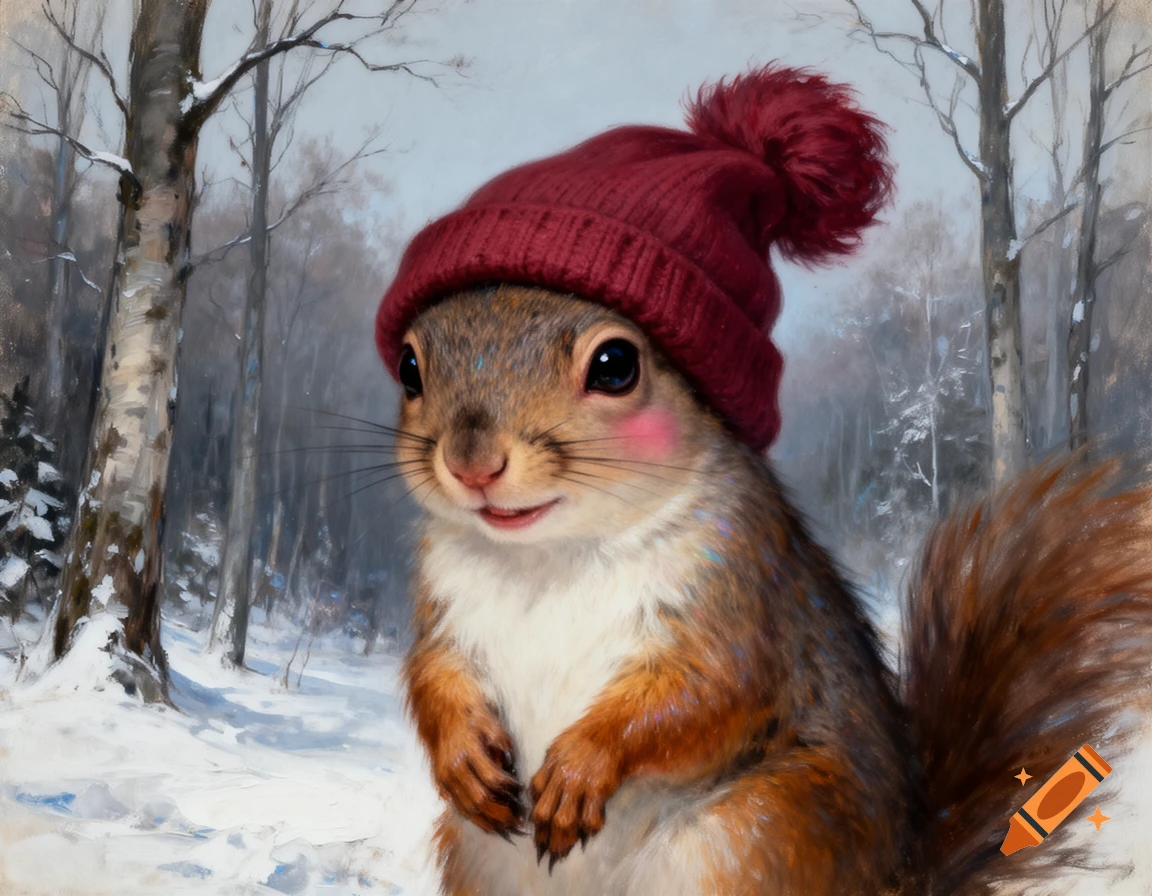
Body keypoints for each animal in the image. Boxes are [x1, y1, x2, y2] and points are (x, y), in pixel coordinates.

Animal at [372, 66, 1152, 895]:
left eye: (615, 365)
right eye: (412, 367)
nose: (472, 463)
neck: (550, 558)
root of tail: (900, 876)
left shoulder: (742, 598)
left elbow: (707, 695)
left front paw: (583, 765)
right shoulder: (446, 600)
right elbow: (431, 673)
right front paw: (460, 753)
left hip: (752, 833)